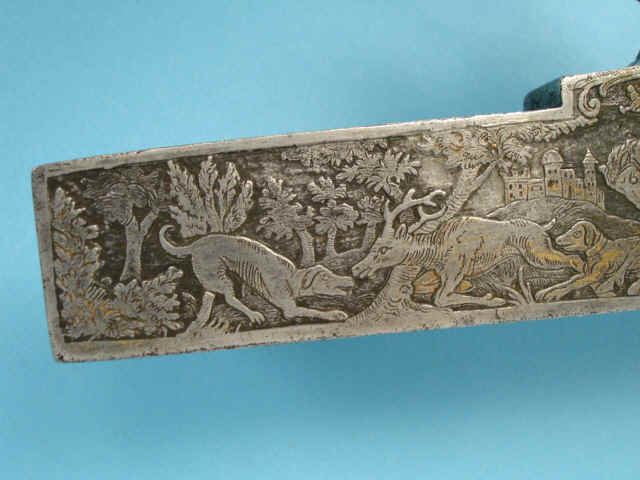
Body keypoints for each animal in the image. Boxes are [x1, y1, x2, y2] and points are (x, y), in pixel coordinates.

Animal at [351, 189, 585, 308]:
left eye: (384, 249)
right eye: (374, 245)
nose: (356, 269)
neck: (437, 248)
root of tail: (543, 227)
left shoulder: (455, 273)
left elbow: (440, 299)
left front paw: (494, 298)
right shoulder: (440, 274)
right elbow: (421, 288)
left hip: (539, 254)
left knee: (575, 259)